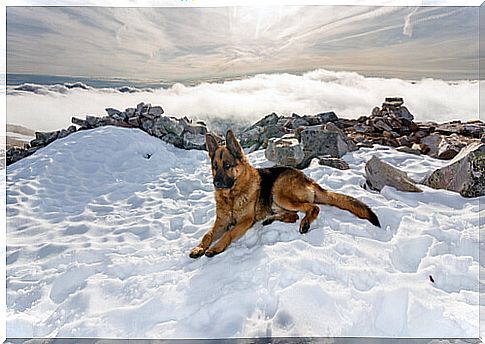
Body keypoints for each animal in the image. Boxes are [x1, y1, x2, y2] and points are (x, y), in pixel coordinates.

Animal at [187, 130, 380, 258]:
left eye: (227, 165)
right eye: (215, 167)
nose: (217, 183)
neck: (232, 197)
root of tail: (307, 177)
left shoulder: (245, 221)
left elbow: (228, 234)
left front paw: (215, 248)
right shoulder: (221, 222)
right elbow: (207, 235)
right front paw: (199, 248)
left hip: (279, 193)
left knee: (313, 207)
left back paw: (305, 223)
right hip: (276, 202)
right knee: (294, 215)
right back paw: (272, 220)